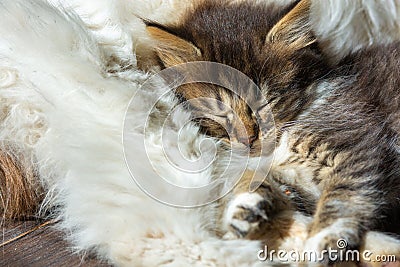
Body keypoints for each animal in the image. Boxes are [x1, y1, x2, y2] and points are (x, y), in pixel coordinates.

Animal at [147, 0, 400, 262]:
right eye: (220, 110)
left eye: (265, 103)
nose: (248, 139)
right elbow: (256, 179)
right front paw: (245, 205)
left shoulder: (359, 142)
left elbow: (343, 195)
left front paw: (323, 240)